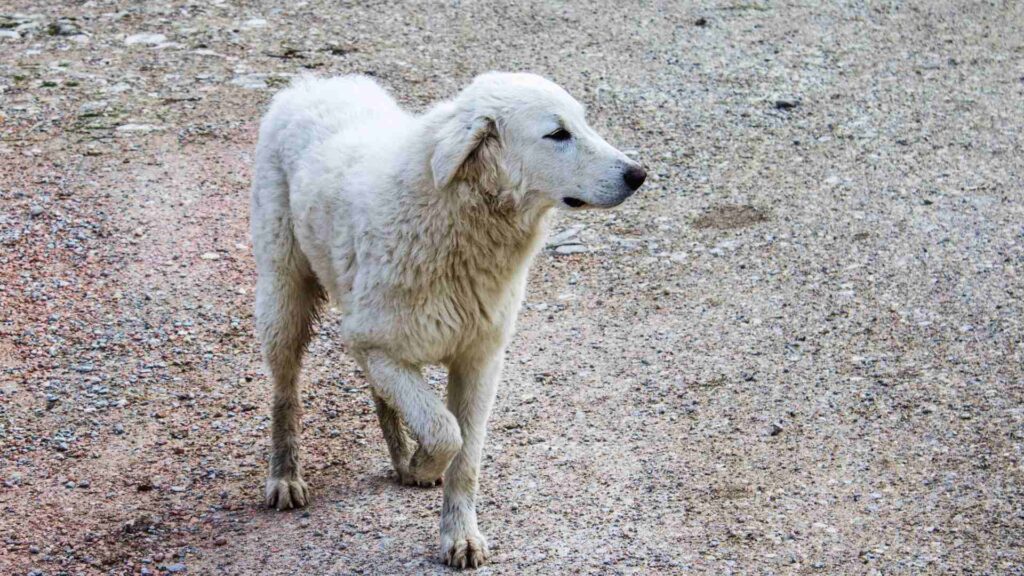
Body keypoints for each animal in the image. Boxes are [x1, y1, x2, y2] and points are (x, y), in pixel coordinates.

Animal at [248, 70, 643, 565]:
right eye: (557, 134)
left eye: (583, 123)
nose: (638, 174)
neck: (458, 219)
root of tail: (311, 82)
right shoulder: (374, 343)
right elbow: (444, 433)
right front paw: (424, 463)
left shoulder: (479, 360)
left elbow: (466, 456)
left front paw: (459, 535)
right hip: (284, 298)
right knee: (286, 393)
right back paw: (285, 477)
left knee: (379, 394)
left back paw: (400, 460)